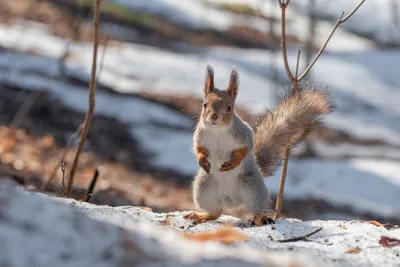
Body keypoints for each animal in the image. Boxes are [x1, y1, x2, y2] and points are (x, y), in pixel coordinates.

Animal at [184, 65, 334, 226]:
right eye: (204, 105)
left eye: (229, 107)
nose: (214, 117)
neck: (218, 131)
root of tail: (232, 202)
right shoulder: (200, 135)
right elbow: (198, 148)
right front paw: (201, 159)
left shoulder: (244, 135)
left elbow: (246, 149)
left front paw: (234, 161)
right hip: (203, 190)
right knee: (216, 212)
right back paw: (201, 216)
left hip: (253, 189)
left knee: (255, 209)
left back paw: (260, 218)